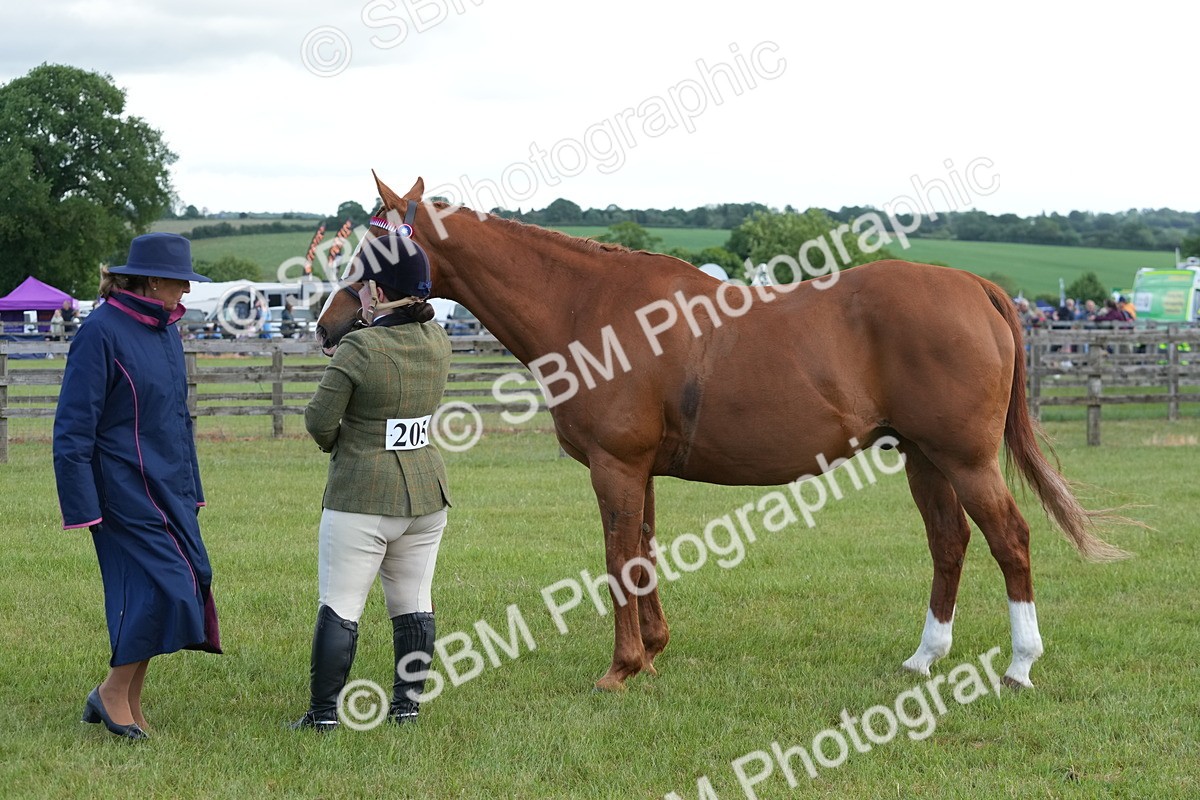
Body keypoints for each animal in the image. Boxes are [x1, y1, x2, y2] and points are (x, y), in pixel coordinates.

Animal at [316, 173, 1129, 693]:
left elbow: (617, 557)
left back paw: (1020, 664)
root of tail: (975, 287)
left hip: (965, 457)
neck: (590, 306)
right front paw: (653, 652)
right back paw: (924, 658)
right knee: (950, 543)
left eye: (374, 250)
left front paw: (621, 668)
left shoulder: (615, 466)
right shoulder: (639, 471)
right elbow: (642, 553)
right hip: (923, 457)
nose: (327, 325)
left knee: (1009, 539)